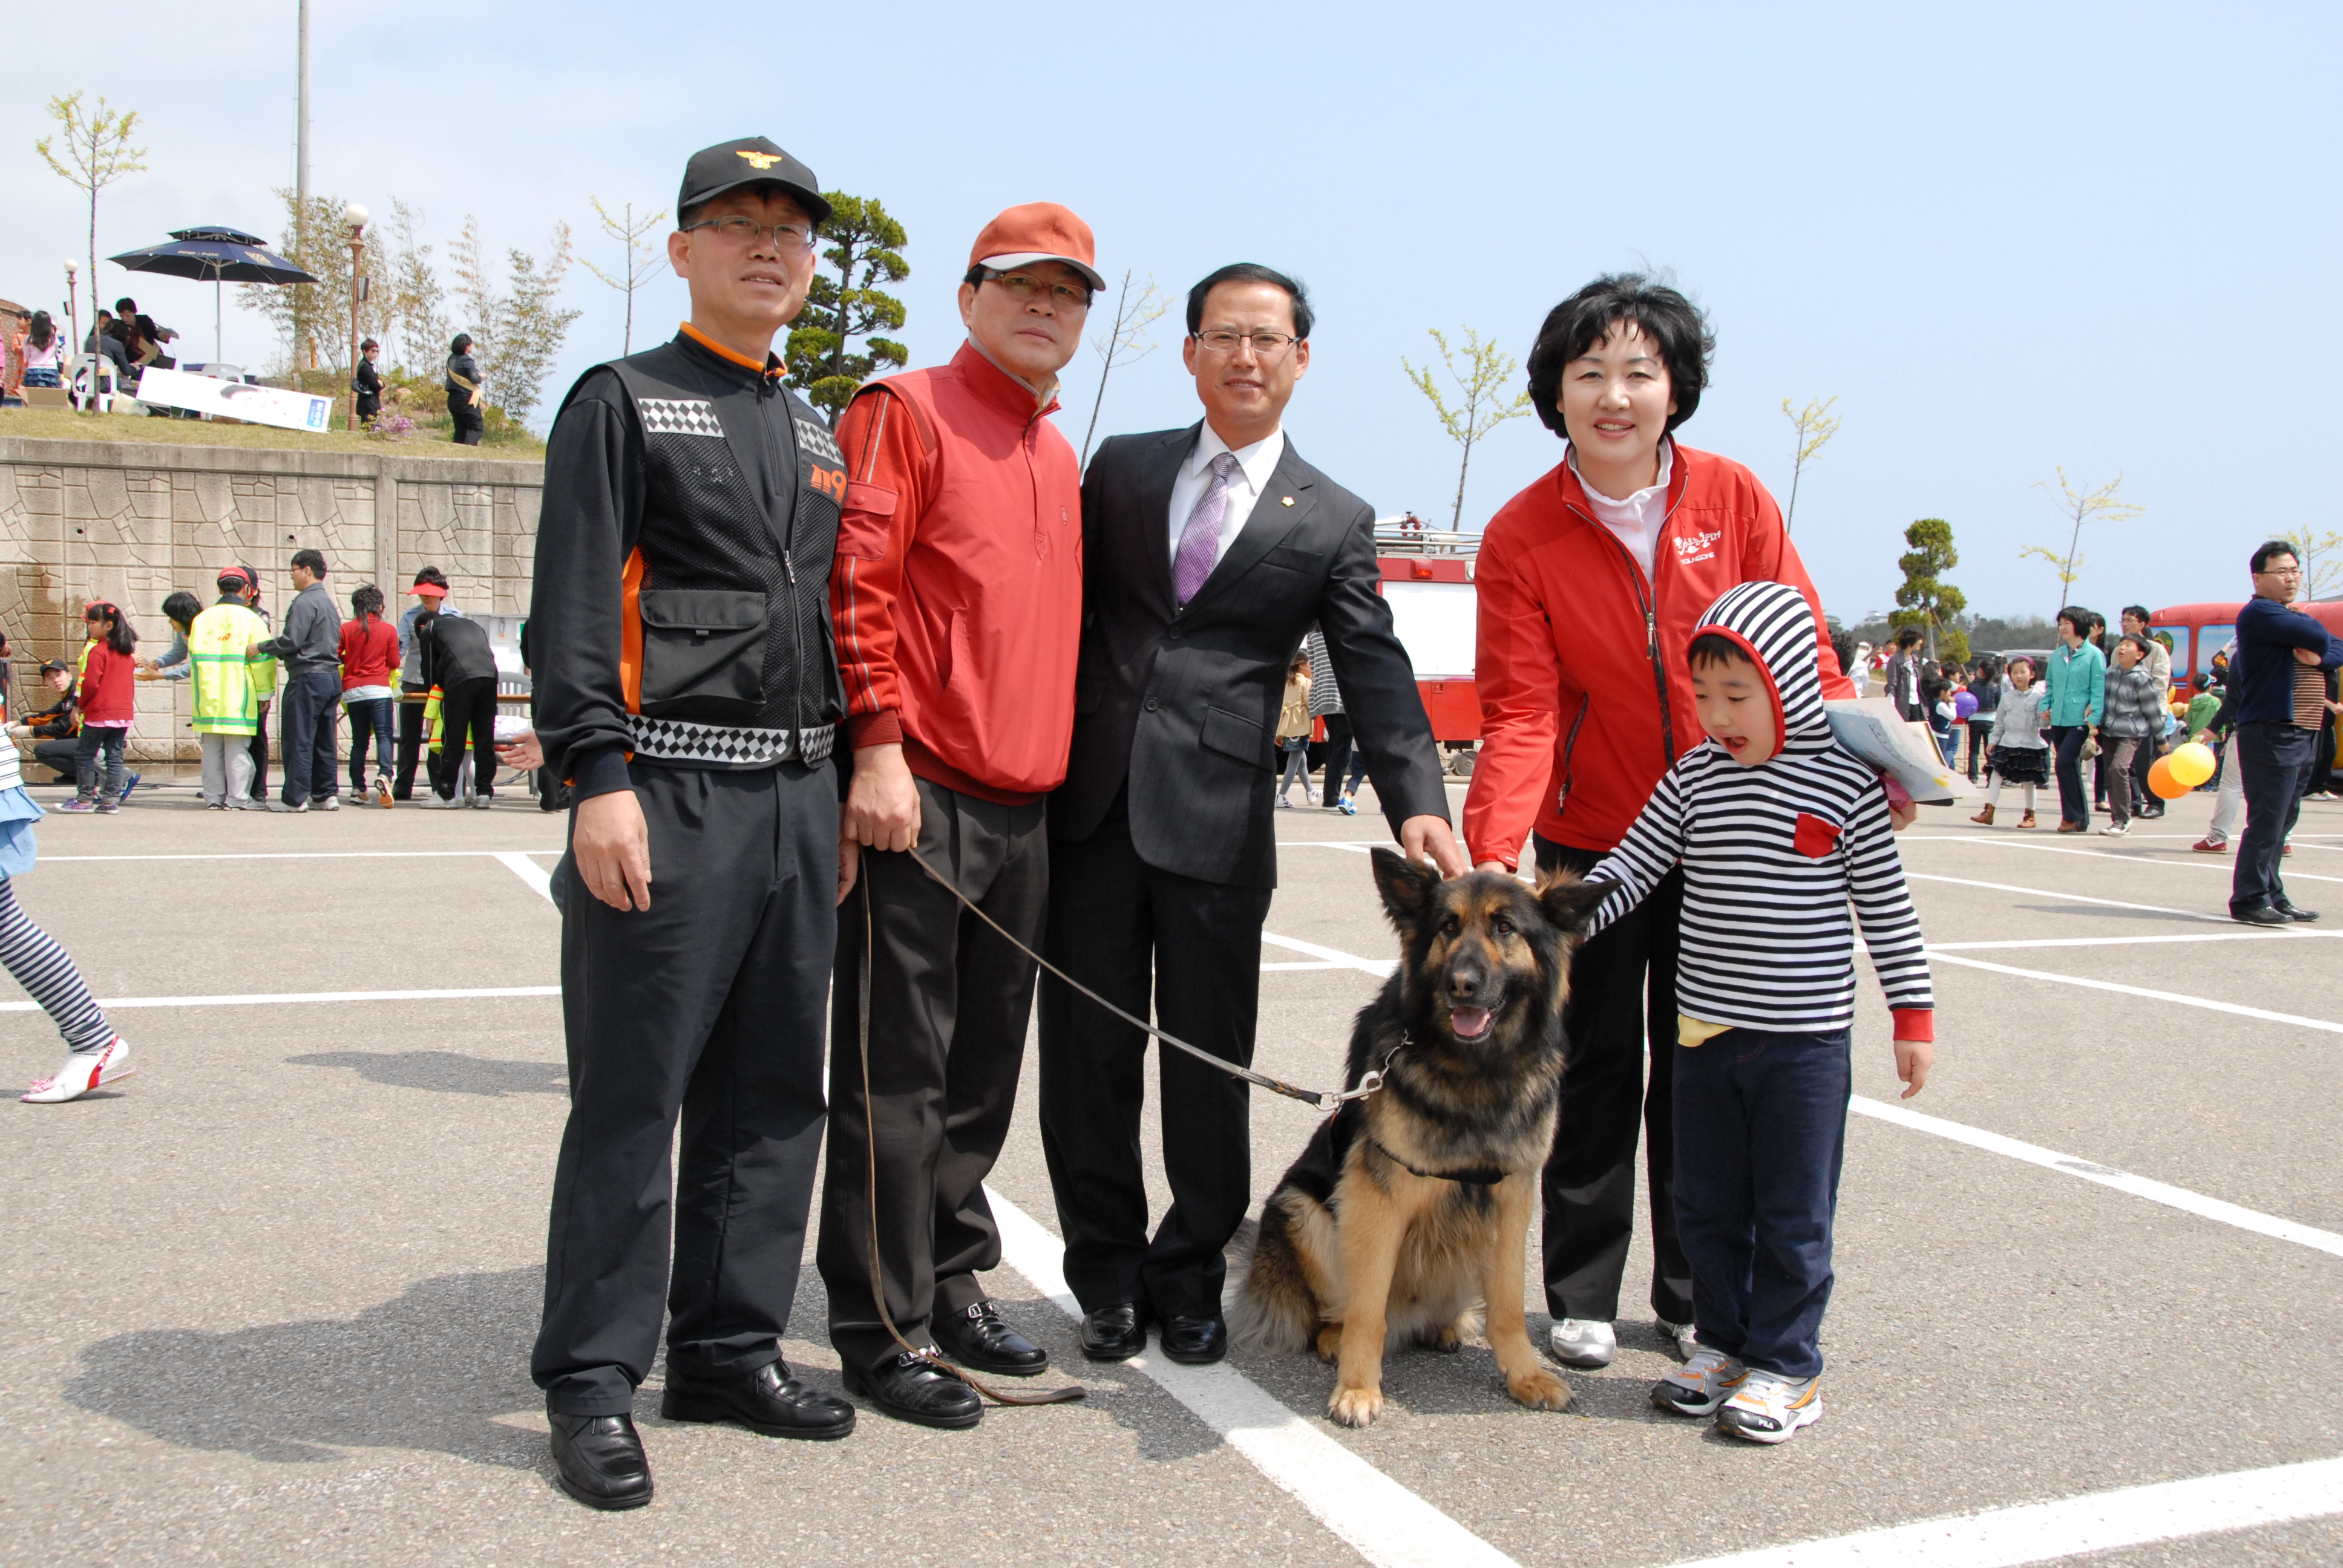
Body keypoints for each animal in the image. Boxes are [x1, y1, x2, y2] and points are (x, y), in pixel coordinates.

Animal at [1230, 848, 1605, 1428]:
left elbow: (1509, 1308)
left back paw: (1443, 1327)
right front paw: (1358, 1388)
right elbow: (1368, 1312)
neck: (1475, 1071)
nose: (1462, 983)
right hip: (1304, 1211)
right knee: (1334, 1315)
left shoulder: (1511, 1198)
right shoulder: (1375, 1197)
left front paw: (1525, 1376)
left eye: (1505, 927)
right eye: (1448, 926)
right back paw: (1338, 1340)